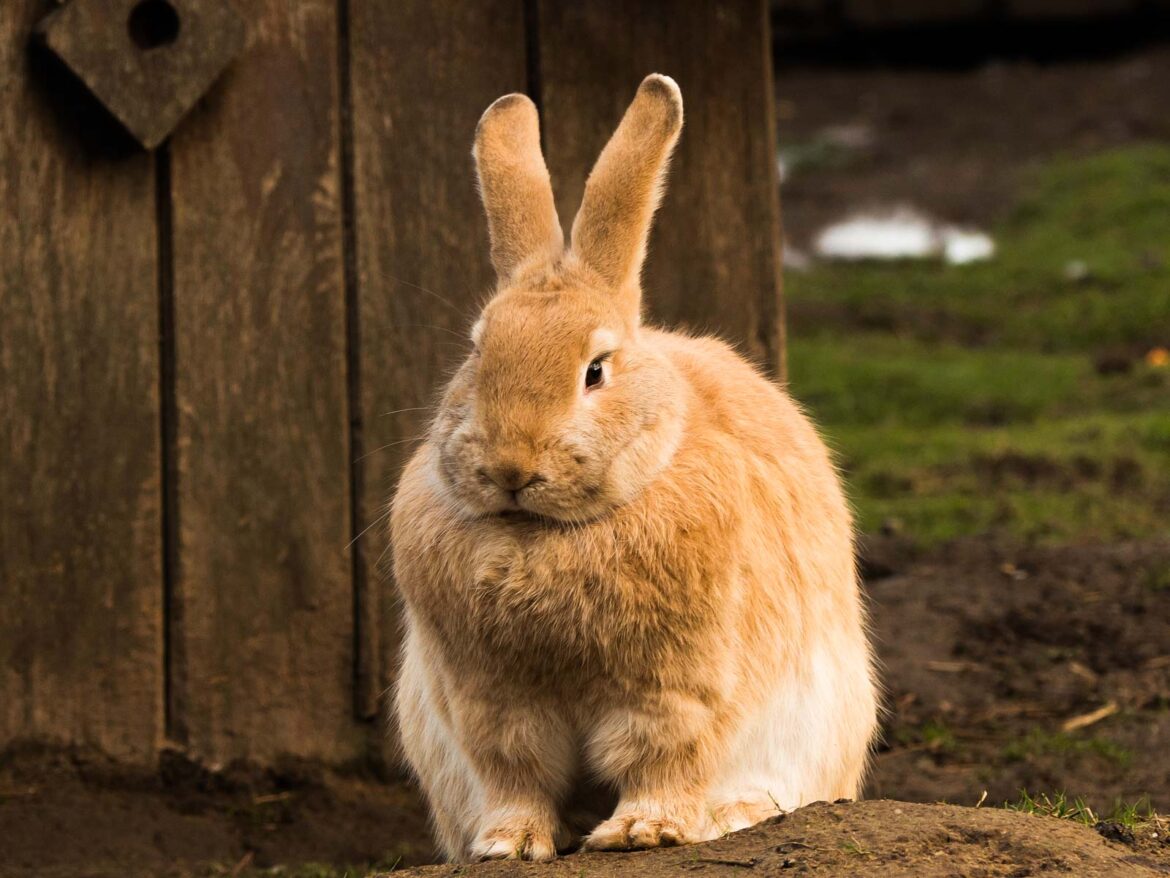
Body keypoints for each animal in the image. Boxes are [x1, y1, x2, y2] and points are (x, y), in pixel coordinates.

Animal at [390, 73, 879, 863]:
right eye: (476, 350)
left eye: (596, 369)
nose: (510, 465)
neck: (544, 534)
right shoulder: (489, 703)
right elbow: (516, 774)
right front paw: (509, 844)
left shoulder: (675, 690)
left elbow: (662, 758)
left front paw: (640, 833)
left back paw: (734, 813)